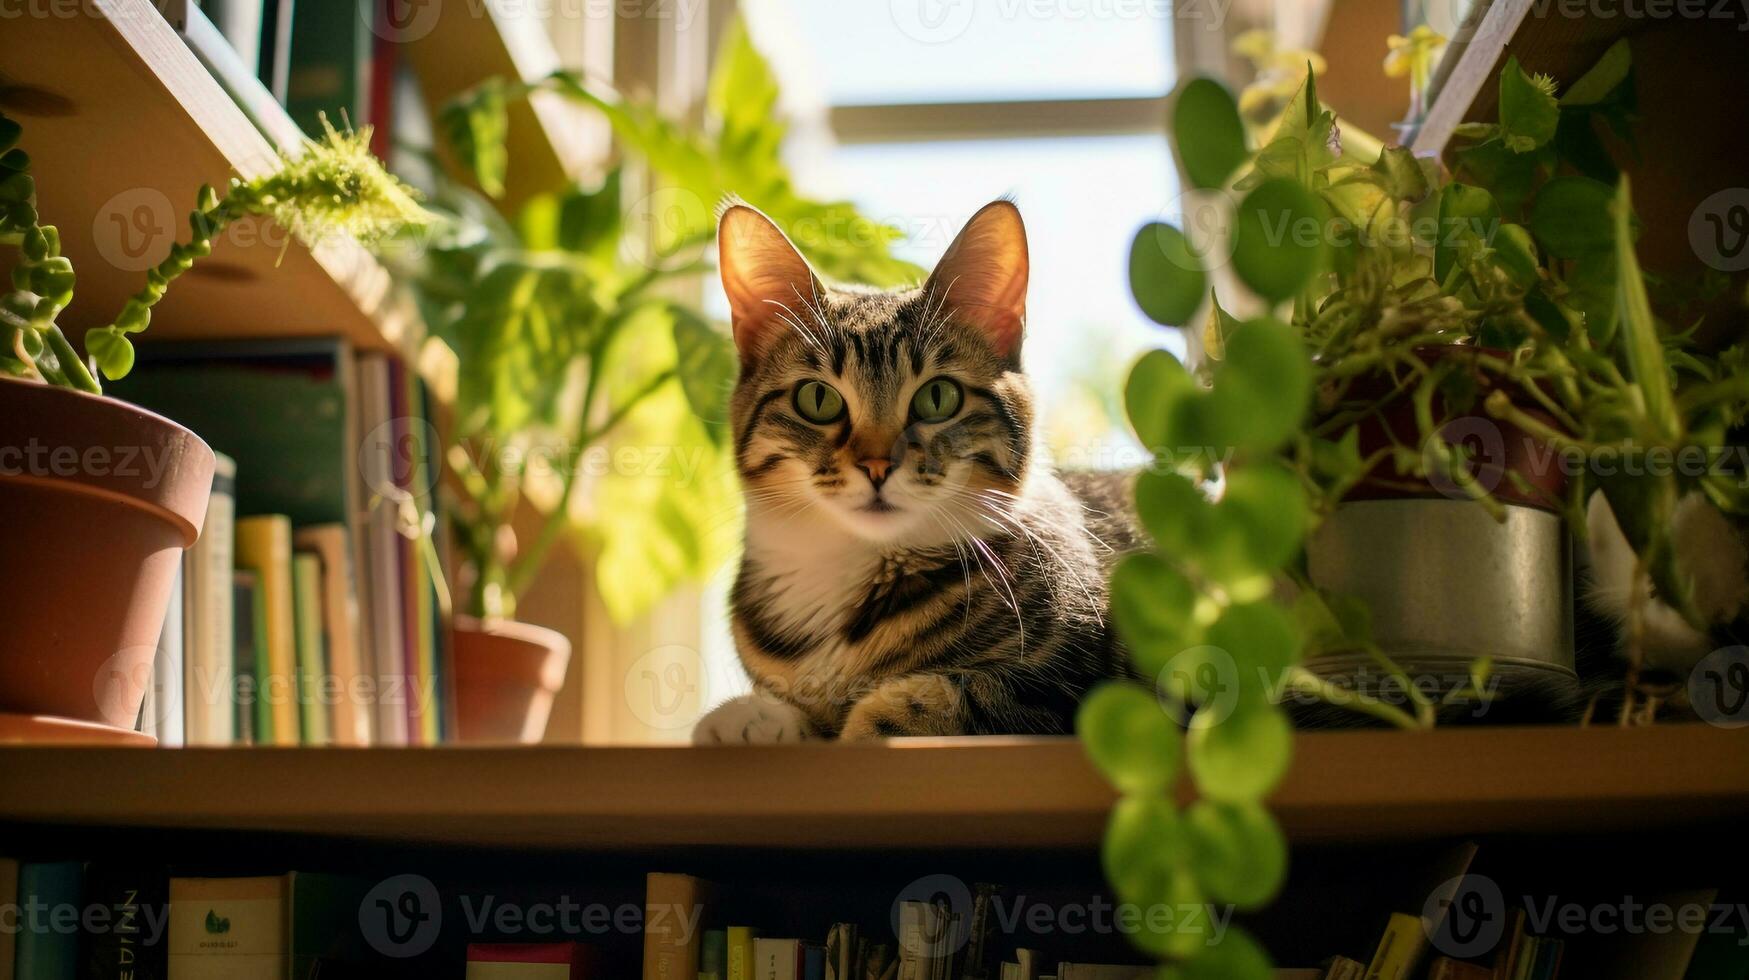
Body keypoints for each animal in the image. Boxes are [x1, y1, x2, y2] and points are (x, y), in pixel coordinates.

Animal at [689, 203, 1140, 745]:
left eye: (938, 397)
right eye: (817, 399)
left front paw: (863, 723)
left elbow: (946, 694)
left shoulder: (1076, 690)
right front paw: (750, 717)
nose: (878, 464)